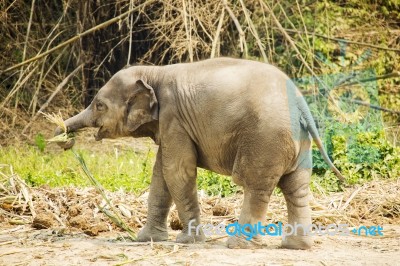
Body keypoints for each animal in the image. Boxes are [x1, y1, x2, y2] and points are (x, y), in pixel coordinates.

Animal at [54, 58, 344, 249]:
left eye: (99, 105)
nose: (64, 139)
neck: (154, 73)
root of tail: (300, 101)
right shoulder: (170, 125)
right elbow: (161, 175)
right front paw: (146, 239)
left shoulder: (174, 119)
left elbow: (177, 172)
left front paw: (187, 241)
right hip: (298, 141)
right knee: (297, 187)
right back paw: (296, 246)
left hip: (266, 138)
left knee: (256, 186)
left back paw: (238, 245)